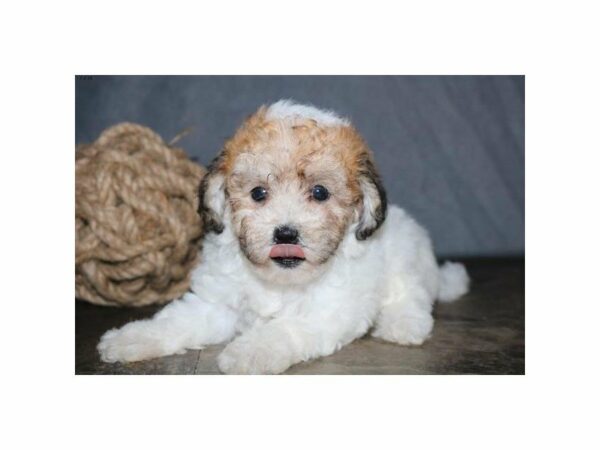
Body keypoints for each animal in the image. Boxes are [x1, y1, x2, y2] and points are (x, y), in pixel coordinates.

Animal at [97, 100, 468, 374]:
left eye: (320, 192)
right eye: (258, 193)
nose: (286, 233)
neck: (279, 282)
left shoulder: (325, 311)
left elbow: (283, 329)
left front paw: (249, 352)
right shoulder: (217, 304)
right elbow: (177, 321)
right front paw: (132, 338)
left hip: (406, 262)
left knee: (411, 294)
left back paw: (405, 324)